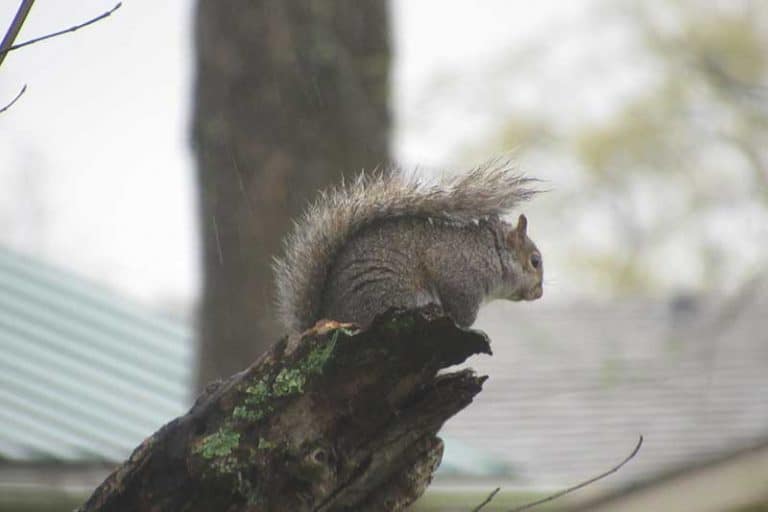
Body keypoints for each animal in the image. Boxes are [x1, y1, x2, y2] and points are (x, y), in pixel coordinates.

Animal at [273, 159, 543, 333]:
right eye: (535, 261)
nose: (539, 293)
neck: (491, 255)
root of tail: (324, 316)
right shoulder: (456, 273)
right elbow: (461, 311)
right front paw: (469, 326)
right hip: (387, 296)